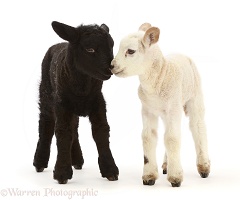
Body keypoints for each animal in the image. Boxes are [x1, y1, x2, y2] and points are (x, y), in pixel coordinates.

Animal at [32, 21, 119, 184]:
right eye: (90, 49)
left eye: (111, 46)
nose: (111, 69)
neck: (82, 89)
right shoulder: (61, 104)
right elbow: (62, 132)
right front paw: (62, 173)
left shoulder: (98, 102)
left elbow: (101, 132)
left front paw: (110, 170)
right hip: (46, 94)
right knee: (46, 125)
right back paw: (39, 162)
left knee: (74, 128)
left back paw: (77, 160)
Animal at [110, 22, 210, 187]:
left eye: (130, 51)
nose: (111, 66)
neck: (159, 77)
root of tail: (181, 54)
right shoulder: (147, 109)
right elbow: (148, 137)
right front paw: (149, 176)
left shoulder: (173, 109)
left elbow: (172, 139)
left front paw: (175, 178)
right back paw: (166, 164)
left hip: (195, 96)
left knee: (198, 127)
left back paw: (204, 167)